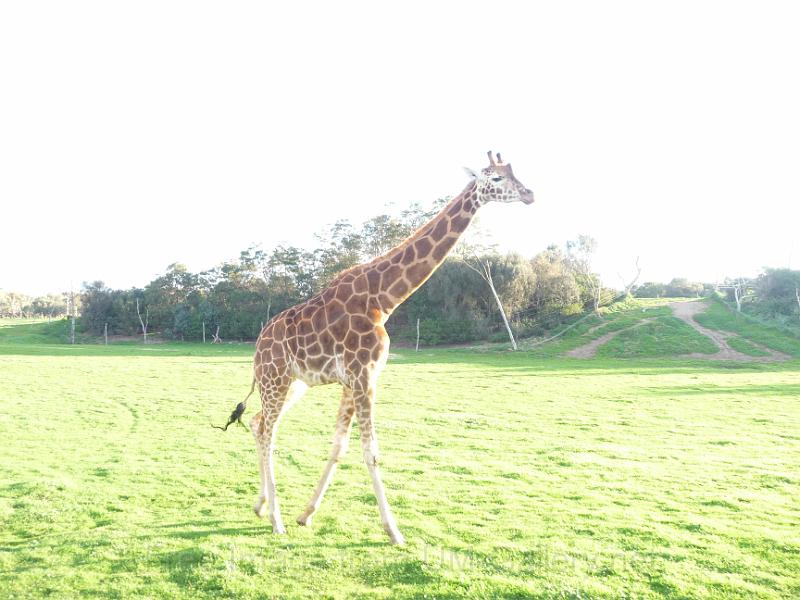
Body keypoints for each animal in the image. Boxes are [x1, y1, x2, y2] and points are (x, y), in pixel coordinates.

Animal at [248, 151, 534, 545]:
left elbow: (339, 446)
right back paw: (276, 520)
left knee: (257, 422)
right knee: (268, 432)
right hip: (274, 378)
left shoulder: (355, 379)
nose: (530, 194)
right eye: (495, 178)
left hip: (293, 384)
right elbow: (372, 453)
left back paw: (262, 505)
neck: (384, 298)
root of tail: (259, 344)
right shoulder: (364, 376)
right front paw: (394, 531)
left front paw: (307, 513)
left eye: (514, 172)